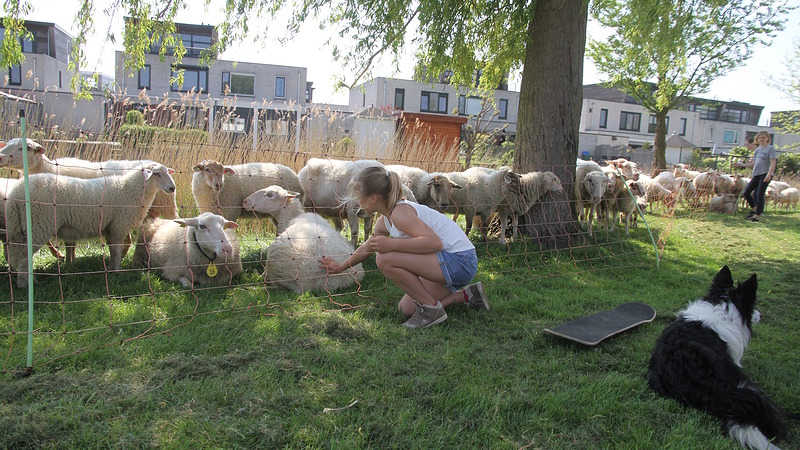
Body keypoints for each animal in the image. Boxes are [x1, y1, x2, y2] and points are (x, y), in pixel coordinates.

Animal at [5, 163, 175, 288]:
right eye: (157, 174)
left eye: (168, 172)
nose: (172, 188)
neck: (129, 189)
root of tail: (15, 195)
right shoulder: (119, 226)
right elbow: (118, 250)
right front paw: (117, 271)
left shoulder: (111, 228)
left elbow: (112, 250)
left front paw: (111, 268)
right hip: (38, 224)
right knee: (24, 256)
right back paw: (26, 283)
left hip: (22, 227)